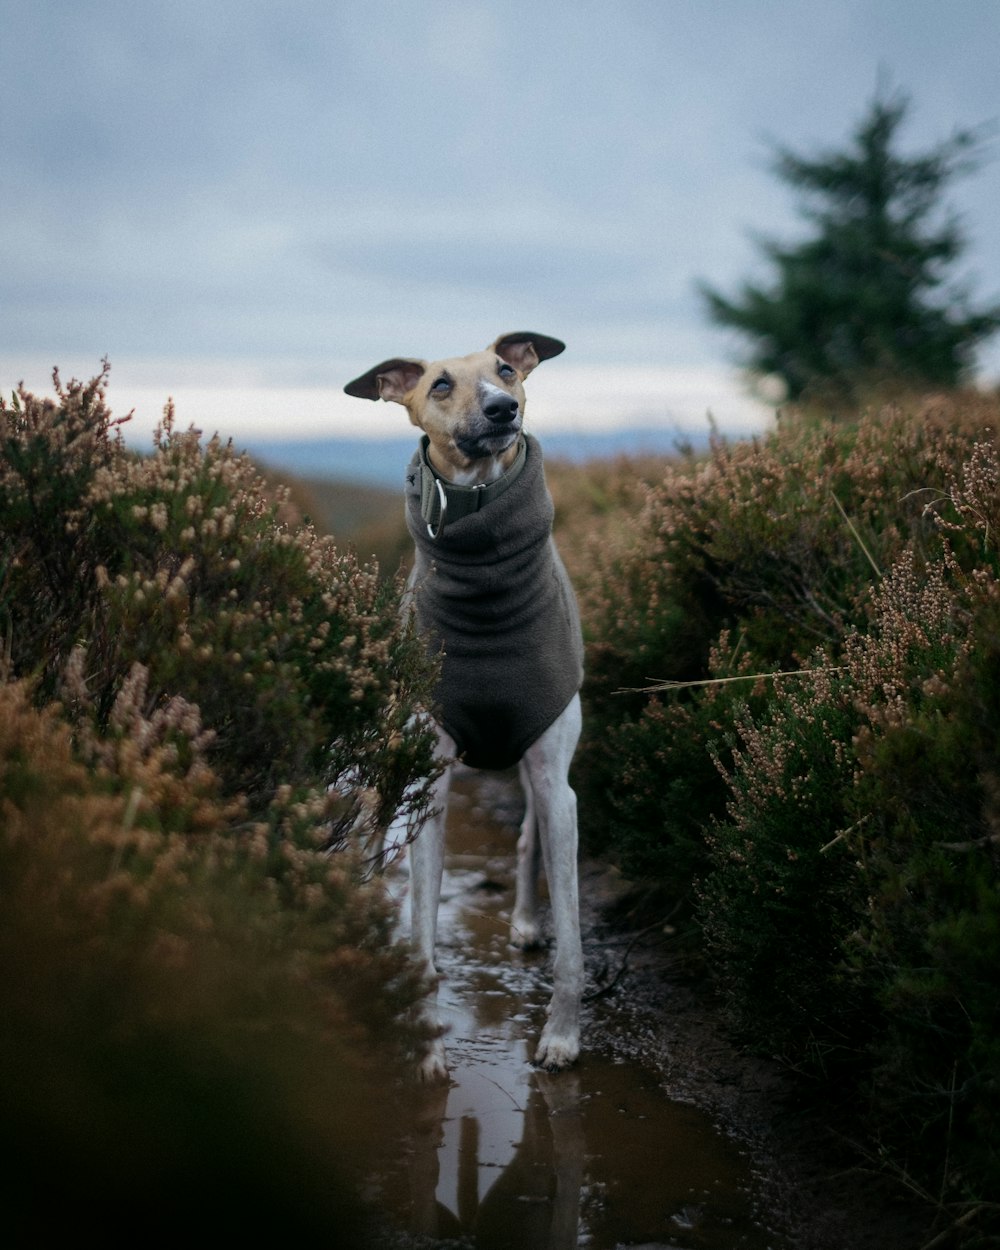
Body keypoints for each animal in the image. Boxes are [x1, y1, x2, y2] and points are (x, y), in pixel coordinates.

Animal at [345, 330, 585, 1075]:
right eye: (442, 384)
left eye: (507, 369)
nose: (503, 409)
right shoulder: (430, 778)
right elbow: (421, 933)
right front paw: (424, 1046)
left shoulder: (556, 777)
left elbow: (575, 941)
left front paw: (562, 1036)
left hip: (542, 767)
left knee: (530, 836)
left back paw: (526, 921)